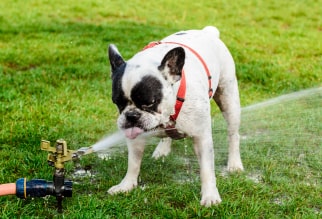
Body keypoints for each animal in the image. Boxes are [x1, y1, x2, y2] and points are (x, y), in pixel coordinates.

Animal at [107, 26, 243, 206]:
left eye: (149, 102)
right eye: (117, 102)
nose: (131, 116)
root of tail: (207, 31)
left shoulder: (201, 137)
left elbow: (207, 169)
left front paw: (210, 196)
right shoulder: (135, 138)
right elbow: (133, 163)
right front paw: (126, 185)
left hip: (229, 100)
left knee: (233, 134)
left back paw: (234, 164)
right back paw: (162, 149)